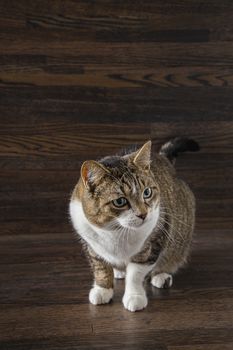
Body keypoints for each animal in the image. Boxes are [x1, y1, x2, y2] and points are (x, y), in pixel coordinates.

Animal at [69, 137, 198, 312]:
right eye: (120, 201)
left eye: (147, 192)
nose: (143, 214)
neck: (115, 230)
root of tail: (163, 159)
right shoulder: (91, 245)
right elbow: (100, 268)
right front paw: (103, 289)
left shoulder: (152, 242)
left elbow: (135, 274)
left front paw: (134, 297)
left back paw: (161, 275)